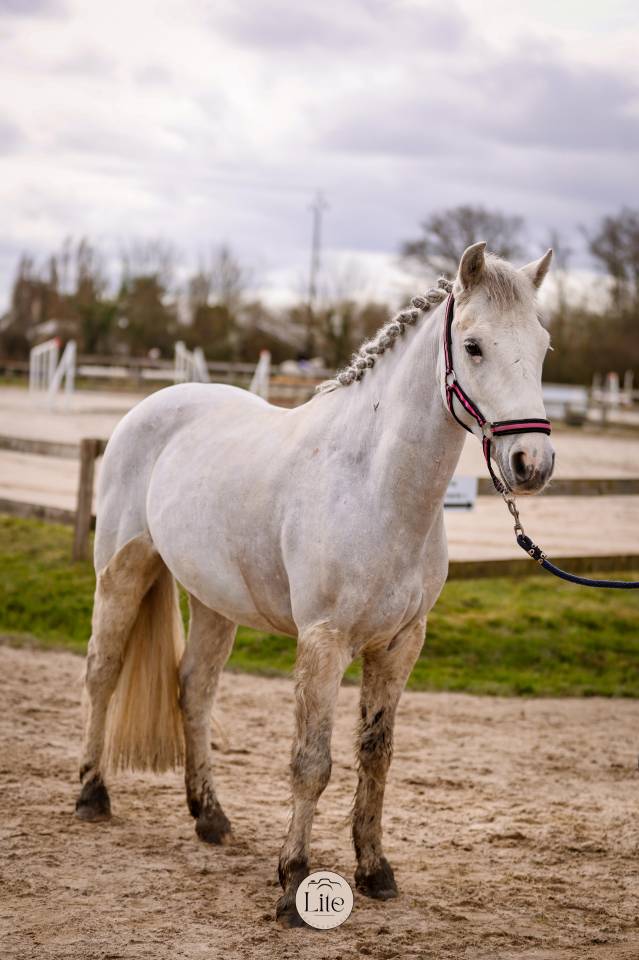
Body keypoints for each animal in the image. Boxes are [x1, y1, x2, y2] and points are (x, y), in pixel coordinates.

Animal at [75, 241, 555, 927]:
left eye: (542, 345)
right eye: (474, 346)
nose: (530, 465)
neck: (375, 484)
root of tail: (150, 408)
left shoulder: (401, 644)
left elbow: (375, 755)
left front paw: (376, 871)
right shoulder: (324, 643)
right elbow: (312, 763)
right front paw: (293, 882)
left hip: (214, 603)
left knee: (194, 691)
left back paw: (210, 817)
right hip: (122, 571)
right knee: (103, 673)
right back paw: (92, 794)